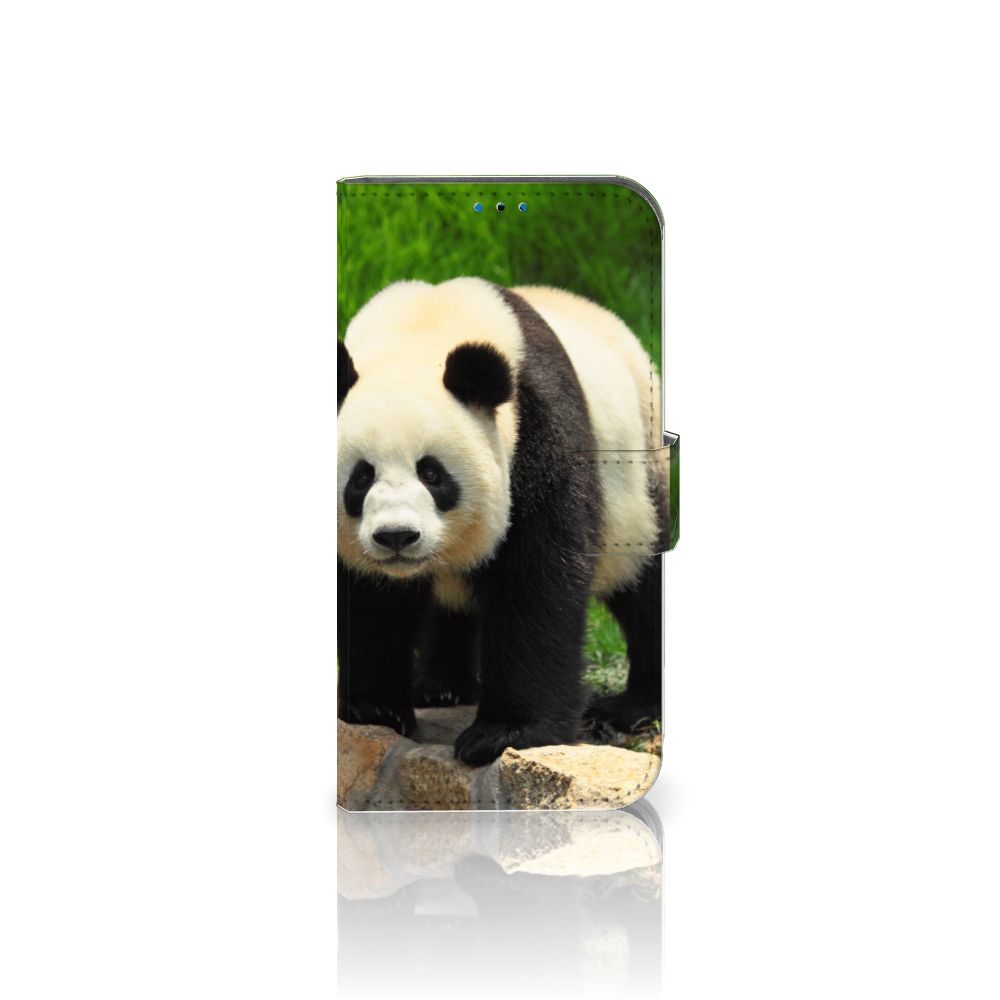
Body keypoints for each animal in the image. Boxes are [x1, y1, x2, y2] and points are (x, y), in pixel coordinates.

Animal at [337, 277, 667, 766]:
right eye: (361, 478)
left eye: (432, 473)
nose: (397, 537)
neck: (420, 331)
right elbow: (369, 599)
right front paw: (373, 708)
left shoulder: (536, 430)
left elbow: (535, 580)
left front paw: (505, 733)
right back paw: (441, 687)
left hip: (638, 479)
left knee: (644, 583)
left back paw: (635, 706)